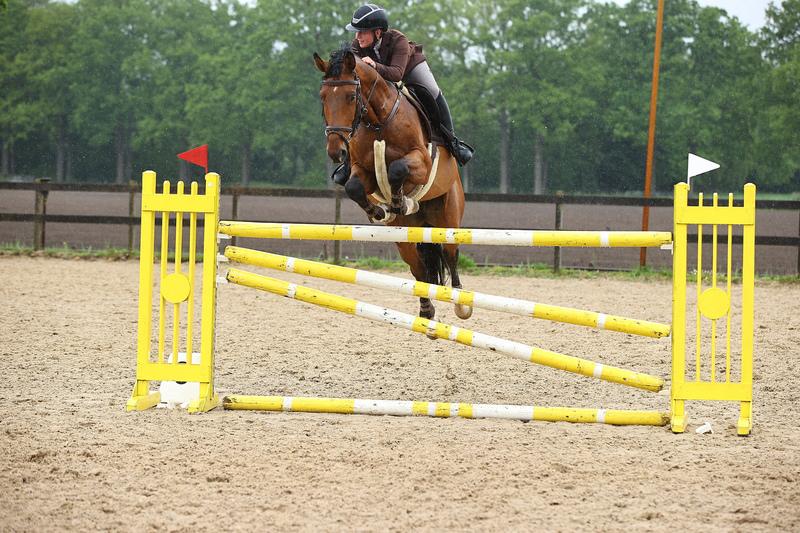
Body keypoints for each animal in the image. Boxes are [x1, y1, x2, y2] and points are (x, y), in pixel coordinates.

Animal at [313, 46, 472, 321]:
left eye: (350, 97)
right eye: (323, 97)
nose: (336, 152)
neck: (378, 121)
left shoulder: (421, 162)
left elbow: (398, 169)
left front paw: (400, 200)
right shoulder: (363, 170)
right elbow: (354, 187)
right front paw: (379, 211)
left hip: (448, 217)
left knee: (450, 255)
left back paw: (461, 305)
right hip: (405, 235)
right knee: (418, 268)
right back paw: (426, 310)